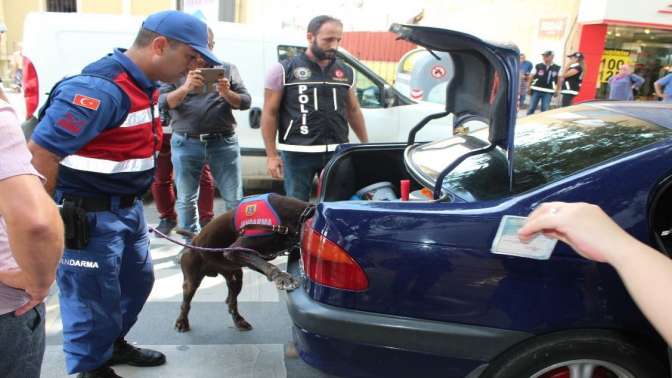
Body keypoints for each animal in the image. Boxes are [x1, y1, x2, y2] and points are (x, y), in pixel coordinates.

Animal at [172, 193, 312, 332]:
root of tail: (194, 240)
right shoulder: (234, 250)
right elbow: (269, 265)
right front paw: (282, 277)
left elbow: (262, 264)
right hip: (192, 280)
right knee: (186, 303)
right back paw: (182, 322)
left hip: (235, 278)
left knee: (232, 302)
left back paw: (239, 320)